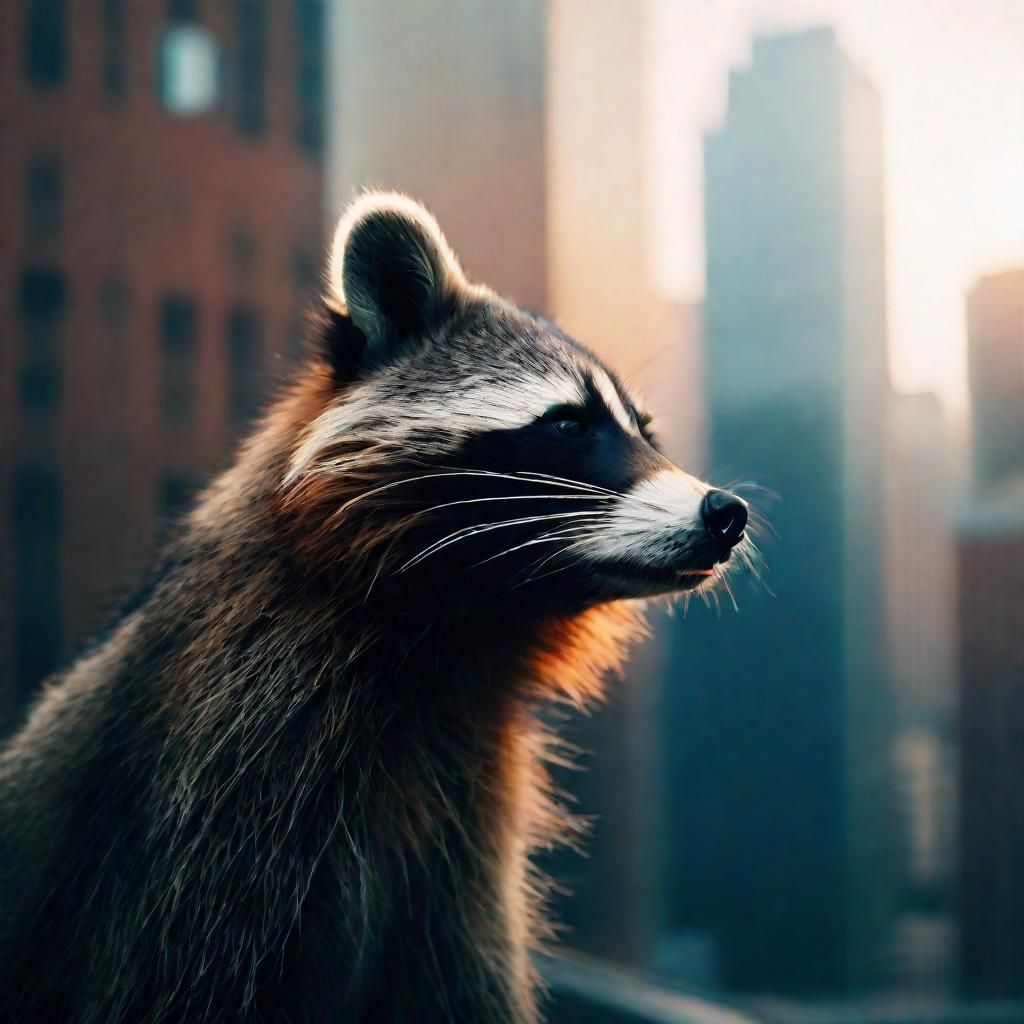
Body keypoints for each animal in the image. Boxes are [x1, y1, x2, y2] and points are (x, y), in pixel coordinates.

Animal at [0, 193, 752, 1023]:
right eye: (567, 423)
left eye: (645, 431)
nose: (727, 513)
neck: (462, 633)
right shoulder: (224, 786)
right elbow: (178, 976)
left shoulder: (461, 833)